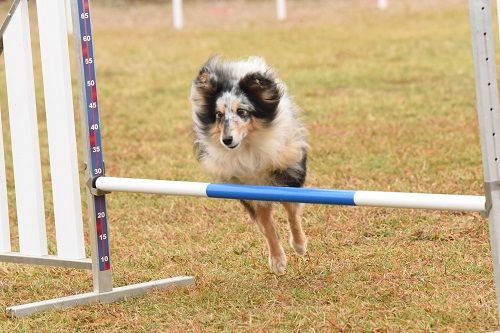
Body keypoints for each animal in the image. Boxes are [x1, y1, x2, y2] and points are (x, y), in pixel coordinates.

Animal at [190, 56, 306, 274]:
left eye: (241, 111)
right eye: (218, 115)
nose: (226, 140)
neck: (248, 148)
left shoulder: (287, 171)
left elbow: (292, 211)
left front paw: (299, 244)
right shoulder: (249, 189)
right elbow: (266, 226)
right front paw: (277, 261)